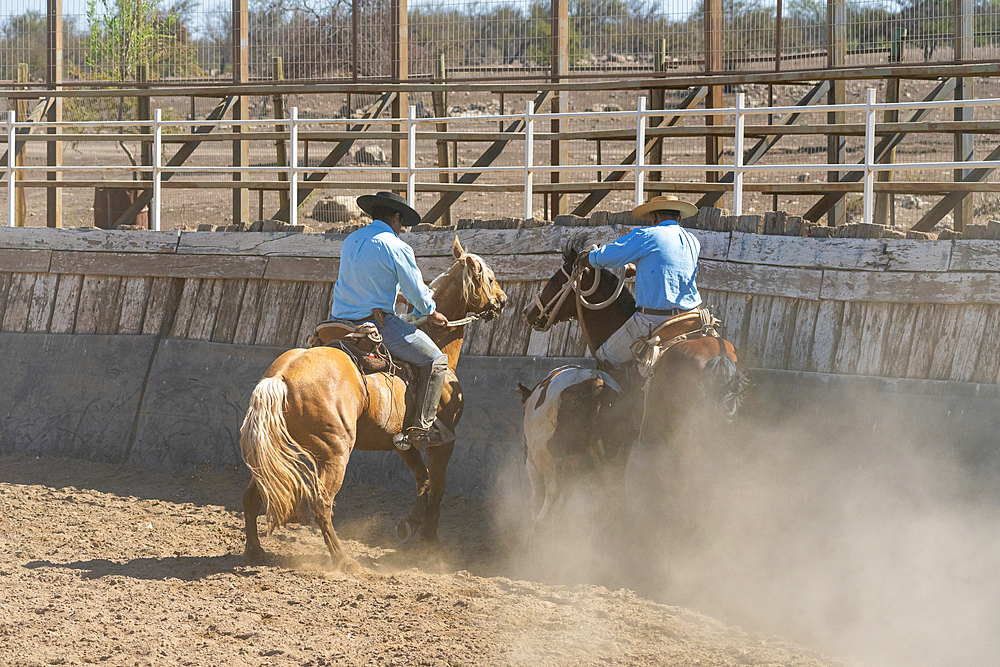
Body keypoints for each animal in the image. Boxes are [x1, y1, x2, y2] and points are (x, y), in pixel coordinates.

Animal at [242, 237, 508, 572]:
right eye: (490, 277)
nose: (503, 300)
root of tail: (281, 377)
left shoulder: (401, 442)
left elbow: (423, 481)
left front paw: (410, 524)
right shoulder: (443, 441)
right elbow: (437, 487)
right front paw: (429, 540)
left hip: (276, 452)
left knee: (253, 497)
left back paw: (254, 551)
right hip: (335, 452)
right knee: (321, 504)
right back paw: (344, 561)